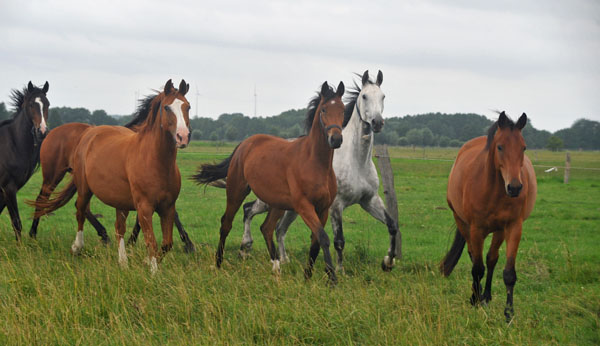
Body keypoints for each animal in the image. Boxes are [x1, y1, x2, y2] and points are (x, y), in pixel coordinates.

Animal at [0, 82, 49, 242]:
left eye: (47, 104)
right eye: (31, 104)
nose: (42, 132)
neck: (13, 145)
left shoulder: (7, 190)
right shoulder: (8, 188)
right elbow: (16, 222)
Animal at [31, 79, 190, 272]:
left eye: (188, 106)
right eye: (167, 107)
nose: (183, 137)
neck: (155, 160)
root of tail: (88, 134)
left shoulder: (168, 207)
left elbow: (167, 243)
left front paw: (147, 262)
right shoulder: (144, 207)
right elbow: (151, 241)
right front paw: (153, 271)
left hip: (120, 201)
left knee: (118, 228)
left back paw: (122, 262)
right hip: (81, 187)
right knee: (80, 210)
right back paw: (77, 247)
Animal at [195, 82, 346, 284]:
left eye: (343, 109)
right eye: (323, 109)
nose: (336, 139)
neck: (315, 163)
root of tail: (245, 144)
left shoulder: (322, 208)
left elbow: (316, 241)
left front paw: (308, 276)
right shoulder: (304, 206)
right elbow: (323, 237)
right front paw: (332, 278)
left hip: (277, 203)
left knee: (266, 228)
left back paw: (276, 268)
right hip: (236, 191)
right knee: (226, 223)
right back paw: (218, 263)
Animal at [237, 69, 400, 270]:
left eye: (383, 96)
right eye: (364, 96)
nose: (377, 122)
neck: (357, 162)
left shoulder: (369, 200)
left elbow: (392, 226)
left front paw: (388, 262)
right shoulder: (336, 205)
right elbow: (339, 241)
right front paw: (339, 269)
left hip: (291, 208)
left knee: (279, 228)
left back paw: (284, 259)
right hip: (270, 201)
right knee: (248, 210)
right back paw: (245, 248)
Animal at [440, 111, 540, 322]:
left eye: (524, 147)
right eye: (500, 146)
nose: (515, 187)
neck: (494, 190)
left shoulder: (513, 227)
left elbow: (508, 272)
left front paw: (509, 313)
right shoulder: (476, 229)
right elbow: (477, 268)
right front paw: (475, 300)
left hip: (499, 231)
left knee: (491, 258)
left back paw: (486, 296)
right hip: (462, 223)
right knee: (474, 257)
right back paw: (476, 295)